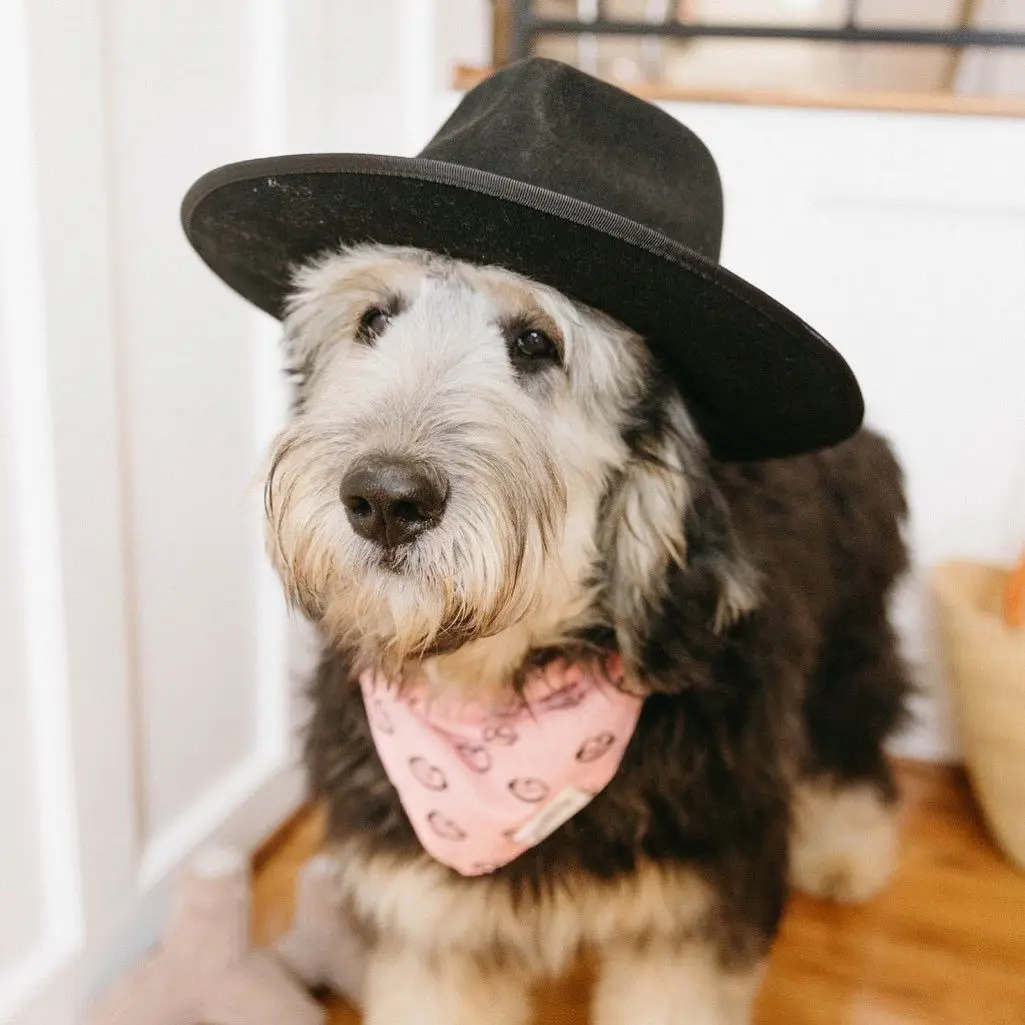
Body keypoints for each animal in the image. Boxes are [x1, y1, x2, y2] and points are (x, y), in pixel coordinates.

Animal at [264, 241, 914, 1025]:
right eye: (373, 321)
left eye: (534, 342)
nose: (384, 498)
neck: (496, 696)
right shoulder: (429, 922)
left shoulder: (689, 921)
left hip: (850, 642)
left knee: (853, 746)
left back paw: (848, 852)